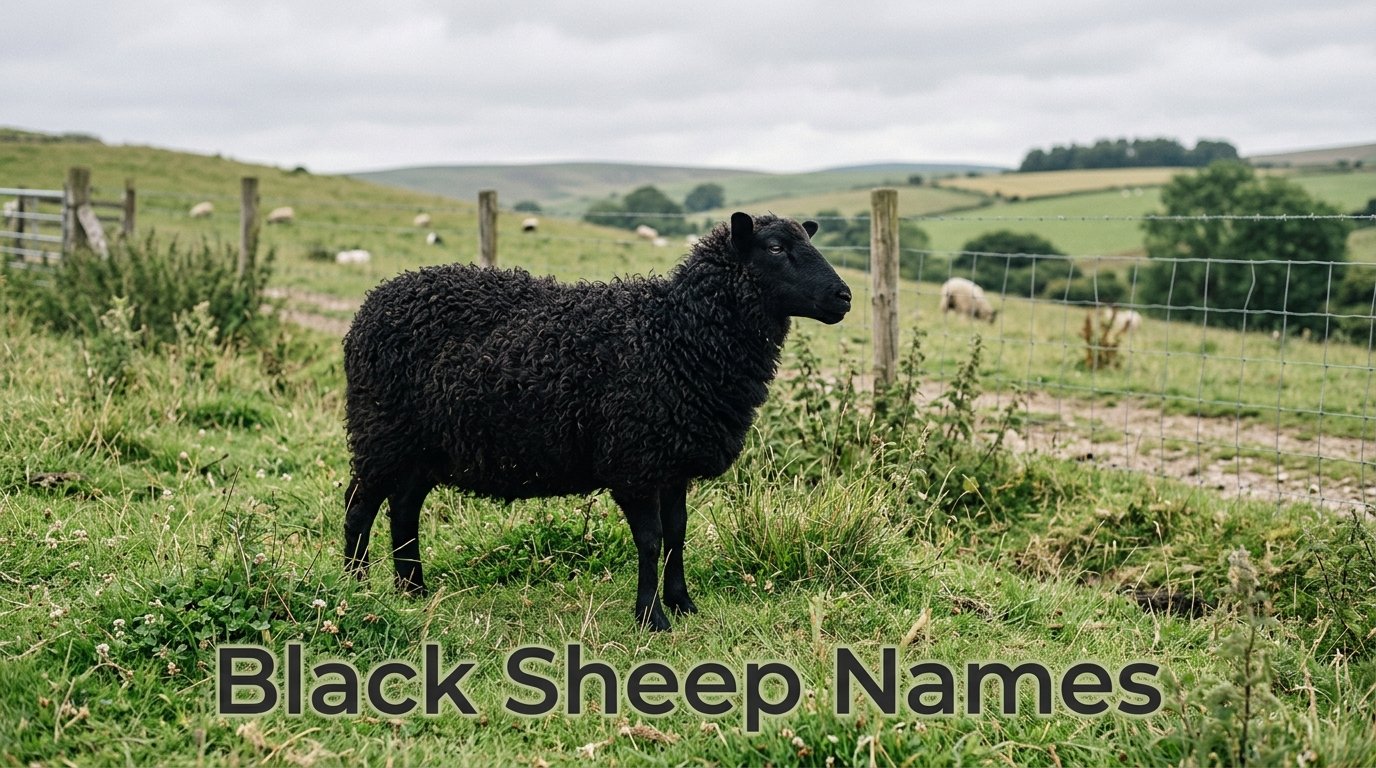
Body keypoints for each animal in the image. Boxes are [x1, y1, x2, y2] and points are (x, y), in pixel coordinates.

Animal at [342, 212, 852, 631]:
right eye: (775, 248)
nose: (844, 296)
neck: (675, 334)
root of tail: (372, 304)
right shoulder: (635, 462)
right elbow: (651, 540)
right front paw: (652, 618)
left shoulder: (672, 462)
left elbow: (678, 535)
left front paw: (683, 604)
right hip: (381, 433)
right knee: (358, 507)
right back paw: (355, 591)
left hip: (422, 447)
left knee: (404, 509)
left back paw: (413, 590)